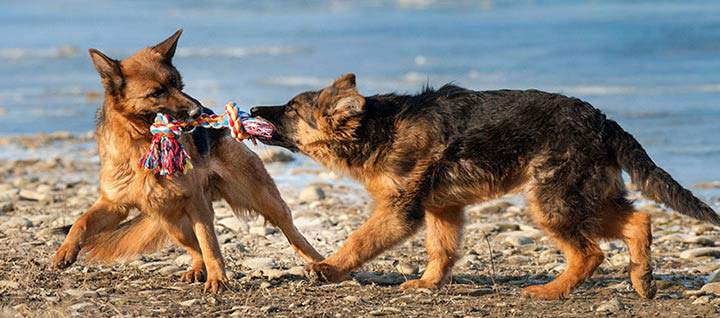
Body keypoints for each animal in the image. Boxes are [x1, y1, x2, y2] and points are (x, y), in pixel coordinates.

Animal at [54, 31, 324, 292]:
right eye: (157, 92)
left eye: (178, 84)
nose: (199, 112)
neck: (141, 144)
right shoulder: (113, 205)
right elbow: (80, 221)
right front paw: (64, 251)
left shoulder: (196, 204)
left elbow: (209, 243)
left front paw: (217, 280)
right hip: (172, 222)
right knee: (193, 247)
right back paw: (196, 268)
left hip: (263, 199)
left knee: (292, 234)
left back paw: (320, 263)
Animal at [249, 73, 720, 300]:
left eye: (290, 110)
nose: (252, 109)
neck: (378, 128)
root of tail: (602, 120)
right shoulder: (443, 210)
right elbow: (442, 250)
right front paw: (428, 284)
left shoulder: (400, 211)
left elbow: (359, 240)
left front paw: (328, 267)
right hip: (583, 196)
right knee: (639, 221)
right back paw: (642, 279)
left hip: (551, 201)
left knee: (591, 252)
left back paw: (551, 292)